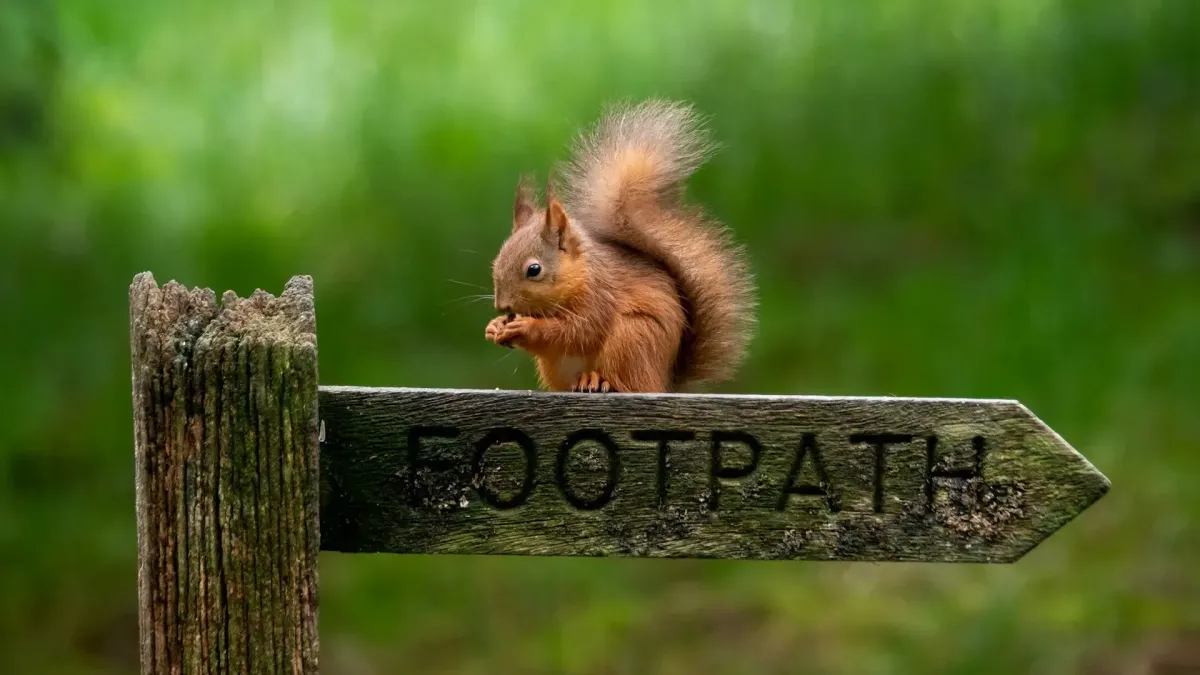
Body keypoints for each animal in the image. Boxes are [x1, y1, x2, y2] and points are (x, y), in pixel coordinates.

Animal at [484, 99, 756, 393]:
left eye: (534, 270)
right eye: (496, 263)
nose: (502, 306)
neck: (580, 276)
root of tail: (664, 382)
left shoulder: (600, 297)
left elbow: (579, 331)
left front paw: (525, 328)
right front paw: (494, 327)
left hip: (632, 338)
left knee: (626, 381)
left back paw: (597, 379)